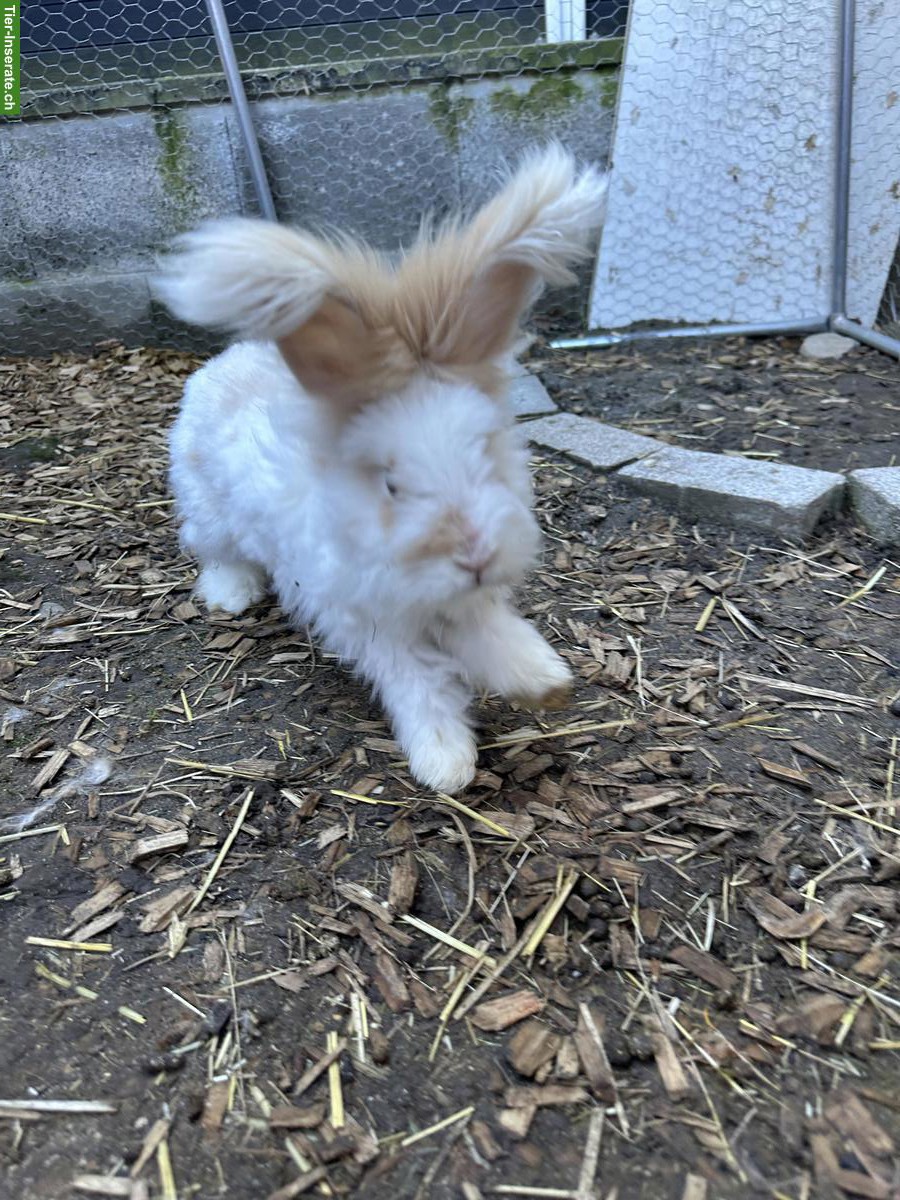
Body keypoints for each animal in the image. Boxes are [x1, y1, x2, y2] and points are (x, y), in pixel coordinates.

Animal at [155, 144, 608, 795]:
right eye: (391, 483)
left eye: (486, 455)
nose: (476, 555)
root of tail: (224, 362)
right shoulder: (375, 626)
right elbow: (421, 682)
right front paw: (445, 760)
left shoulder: (462, 603)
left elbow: (493, 635)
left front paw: (544, 683)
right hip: (209, 506)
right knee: (214, 550)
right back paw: (229, 596)